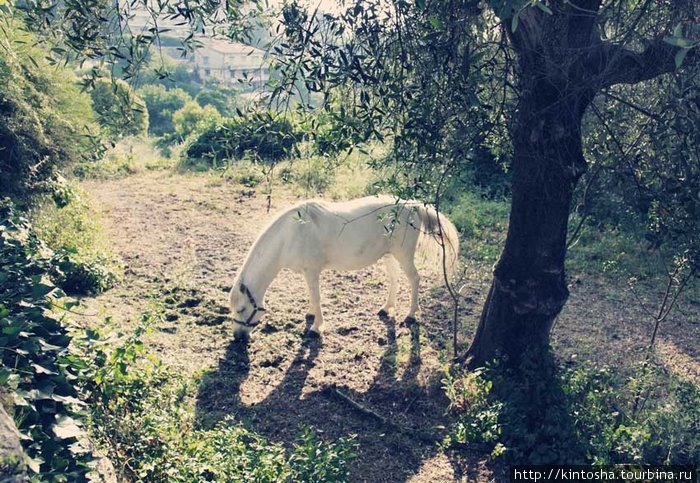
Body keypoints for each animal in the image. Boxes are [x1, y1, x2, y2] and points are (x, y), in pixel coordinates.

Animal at [228, 194, 460, 340]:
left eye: (242, 309)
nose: (238, 338)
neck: (292, 232)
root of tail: (411, 205)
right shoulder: (307, 273)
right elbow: (311, 295)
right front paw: (311, 315)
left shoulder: (312, 271)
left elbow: (317, 296)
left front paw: (316, 328)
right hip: (389, 256)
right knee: (395, 279)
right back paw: (387, 308)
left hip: (403, 255)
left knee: (414, 279)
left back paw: (411, 315)